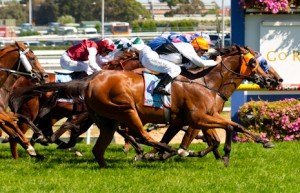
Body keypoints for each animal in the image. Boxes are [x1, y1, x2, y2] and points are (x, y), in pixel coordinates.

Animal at [12, 44, 276, 167]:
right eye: (257, 62)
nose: (274, 80)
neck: (206, 83)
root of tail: (91, 80)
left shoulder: (191, 118)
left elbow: (227, 130)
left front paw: (263, 141)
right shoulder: (198, 117)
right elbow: (227, 128)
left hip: (105, 119)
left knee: (98, 144)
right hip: (126, 110)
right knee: (138, 133)